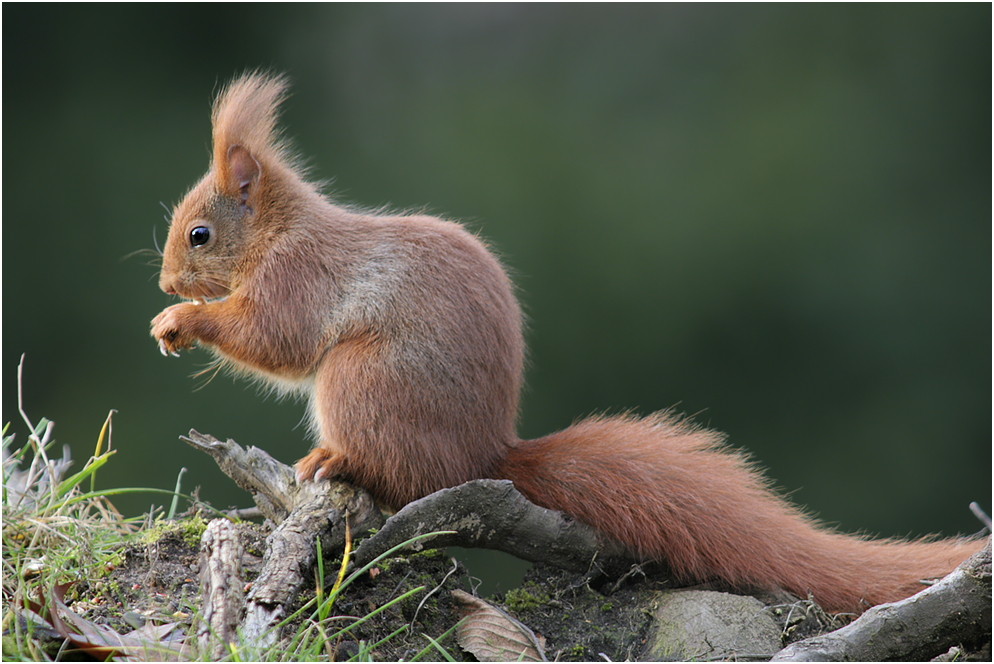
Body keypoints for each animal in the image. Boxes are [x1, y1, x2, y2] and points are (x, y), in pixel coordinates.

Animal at [151, 72, 980, 612]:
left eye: (200, 234)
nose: (164, 284)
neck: (281, 232)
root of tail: (487, 455)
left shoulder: (301, 281)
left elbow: (273, 340)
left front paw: (182, 323)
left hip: (363, 381)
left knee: (399, 474)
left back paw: (335, 459)